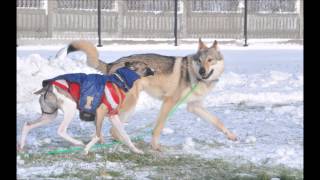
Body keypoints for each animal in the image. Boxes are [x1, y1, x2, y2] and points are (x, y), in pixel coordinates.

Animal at [19, 62, 155, 155]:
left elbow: (125, 135)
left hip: (49, 115)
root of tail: (48, 86)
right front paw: (87, 149)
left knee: (27, 125)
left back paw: (21, 146)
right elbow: (97, 135)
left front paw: (136, 150)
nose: (154, 70)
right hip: (70, 108)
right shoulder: (100, 113)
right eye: (146, 67)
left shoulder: (112, 115)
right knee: (61, 130)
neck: (119, 81)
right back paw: (77, 143)